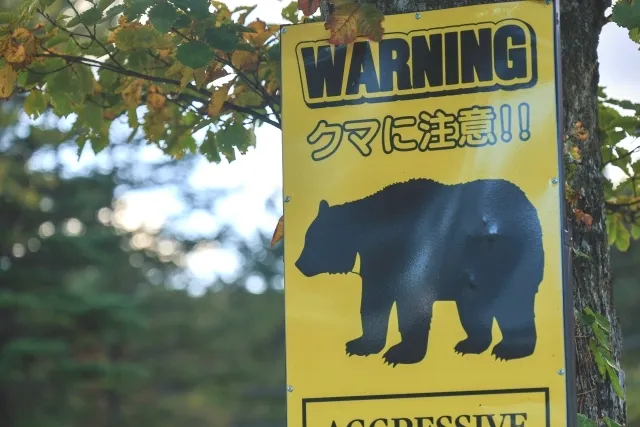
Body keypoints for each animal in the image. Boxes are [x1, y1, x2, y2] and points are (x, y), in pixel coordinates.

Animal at [294, 178, 545, 367]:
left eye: (311, 239)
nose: (299, 264)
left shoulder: (411, 254)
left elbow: (409, 303)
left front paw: (400, 353)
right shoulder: (376, 266)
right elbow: (374, 301)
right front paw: (359, 344)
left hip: (508, 257)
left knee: (515, 303)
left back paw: (511, 349)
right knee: (473, 309)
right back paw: (471, 345)